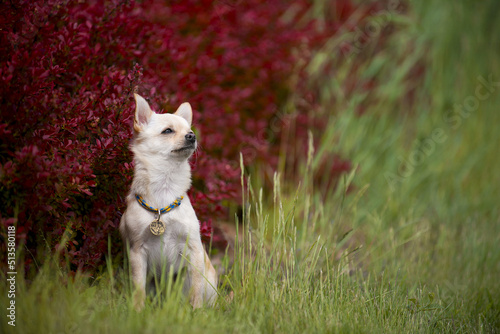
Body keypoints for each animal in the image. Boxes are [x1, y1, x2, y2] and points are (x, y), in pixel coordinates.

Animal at [120, 92, 218, 310]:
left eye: (190, 131)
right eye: (167, 131)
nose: (192, 136)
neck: (165, 185)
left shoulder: (193, 249)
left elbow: (196, 288)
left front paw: (196, 311)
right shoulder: (137, 252)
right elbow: (138, 287)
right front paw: (137, 310)